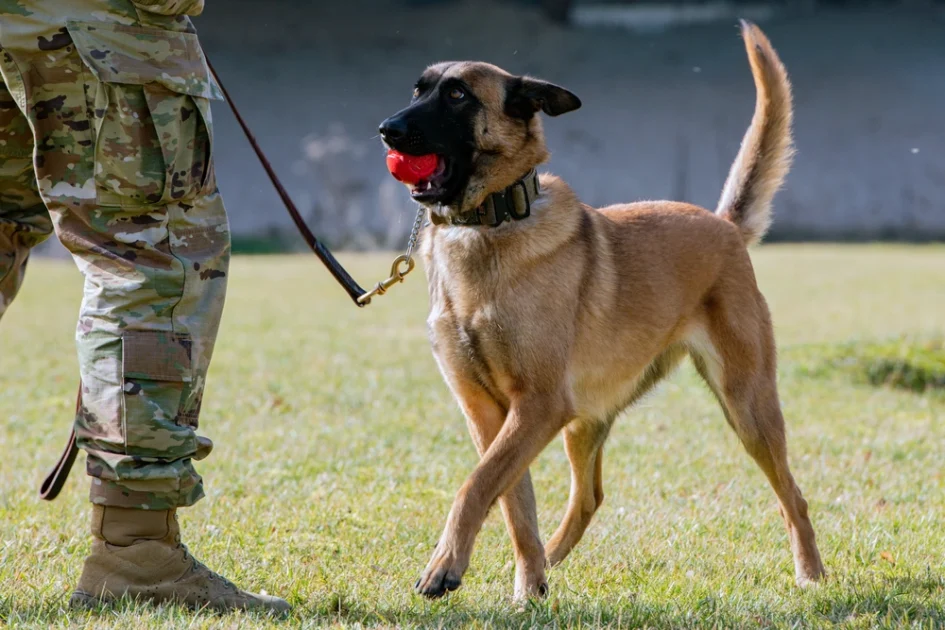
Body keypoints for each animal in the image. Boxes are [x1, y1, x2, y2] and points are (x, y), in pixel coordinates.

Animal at [378, 21, 824, 604]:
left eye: (457, 95)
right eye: (418, 90)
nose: (386, 130)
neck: (488, 224)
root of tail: (724, 224)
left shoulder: (538, 404)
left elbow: (475, 485)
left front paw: (443, 567)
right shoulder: (491, 412)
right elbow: (512, 502)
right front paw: (527, 587)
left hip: (746, 406)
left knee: (793, 495)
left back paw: (811, 573)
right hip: (584, 421)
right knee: (587, 498)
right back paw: (545, 567)